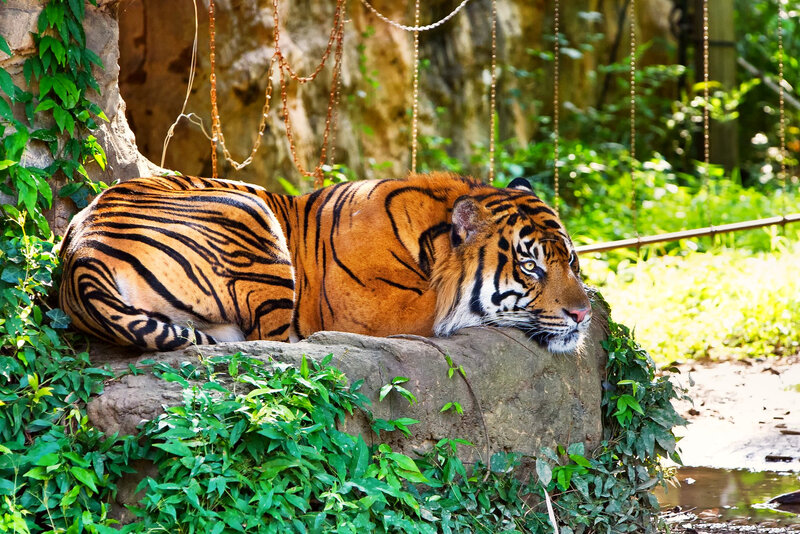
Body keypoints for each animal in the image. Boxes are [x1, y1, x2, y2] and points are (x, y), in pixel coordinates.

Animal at [58, 172, 592, 353]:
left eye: (572, 261)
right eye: (530, 267)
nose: (583, 314)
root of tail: (79, 256)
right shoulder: (390, 316)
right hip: (251, 220)